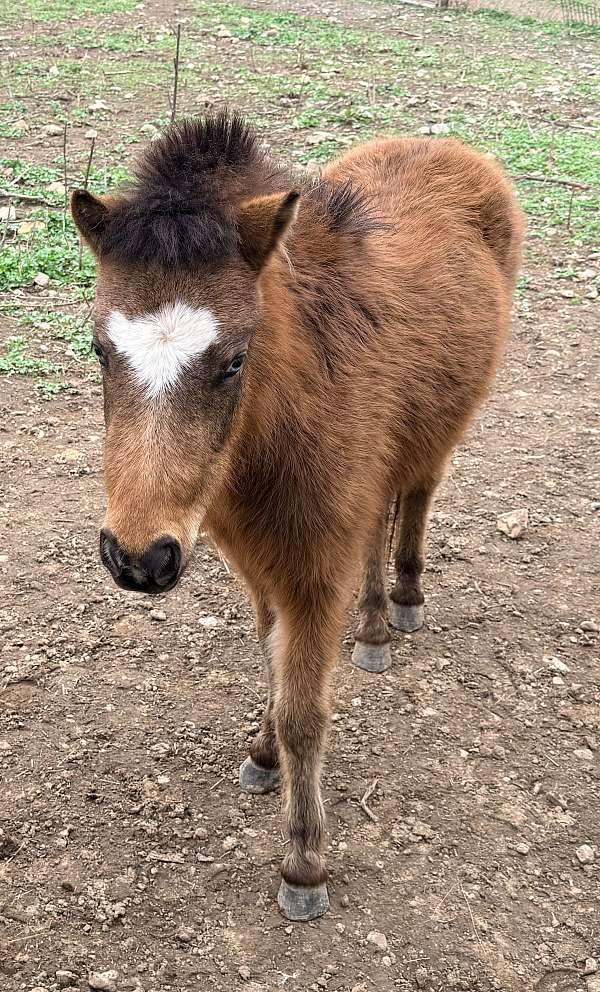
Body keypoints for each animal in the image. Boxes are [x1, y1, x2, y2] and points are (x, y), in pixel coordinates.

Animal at [71, 112, 524, 921]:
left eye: (232, 360)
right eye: (99, 349)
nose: (138, 560)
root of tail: (448, 147)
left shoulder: (312, 573)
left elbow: (304, 711)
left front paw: (304, 862)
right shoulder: (262, 565)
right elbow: (274, 667)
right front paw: (261, 753)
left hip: (440, 433)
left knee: (415, 498)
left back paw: (401, 603)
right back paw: (371, 629)